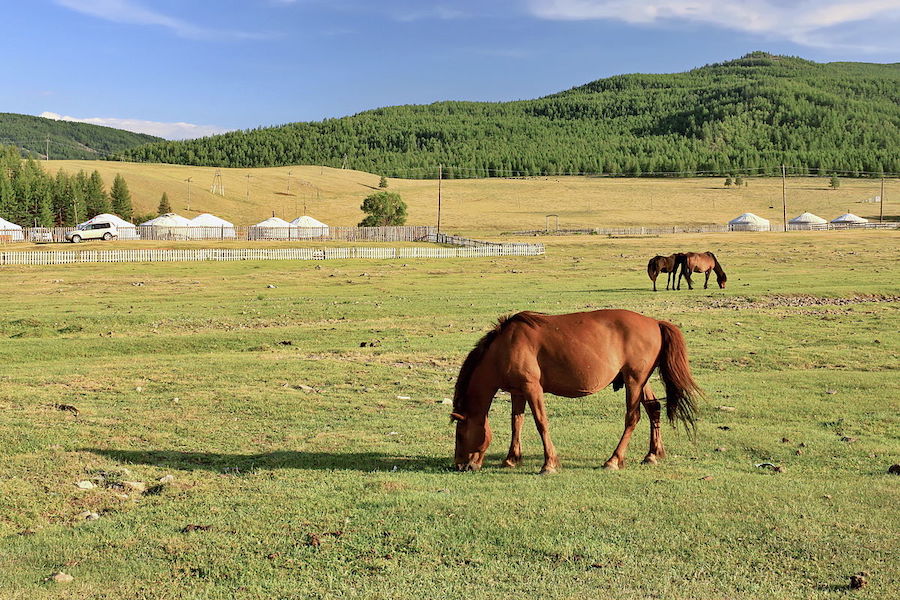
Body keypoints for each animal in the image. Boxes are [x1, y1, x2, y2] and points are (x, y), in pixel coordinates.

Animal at [450, 310, 704, 474]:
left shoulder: (532, 388)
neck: (504, 347)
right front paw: (511, 459)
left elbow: (541, 422)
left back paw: (613, 460)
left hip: (634, 381)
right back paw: (652, 454)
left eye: (460, 435)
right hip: (640, 381)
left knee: (633, 417)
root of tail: (655, 322)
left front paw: (549, 464)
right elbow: (517, 423)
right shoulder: (518, 391)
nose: (460, 465)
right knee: (654, 409)